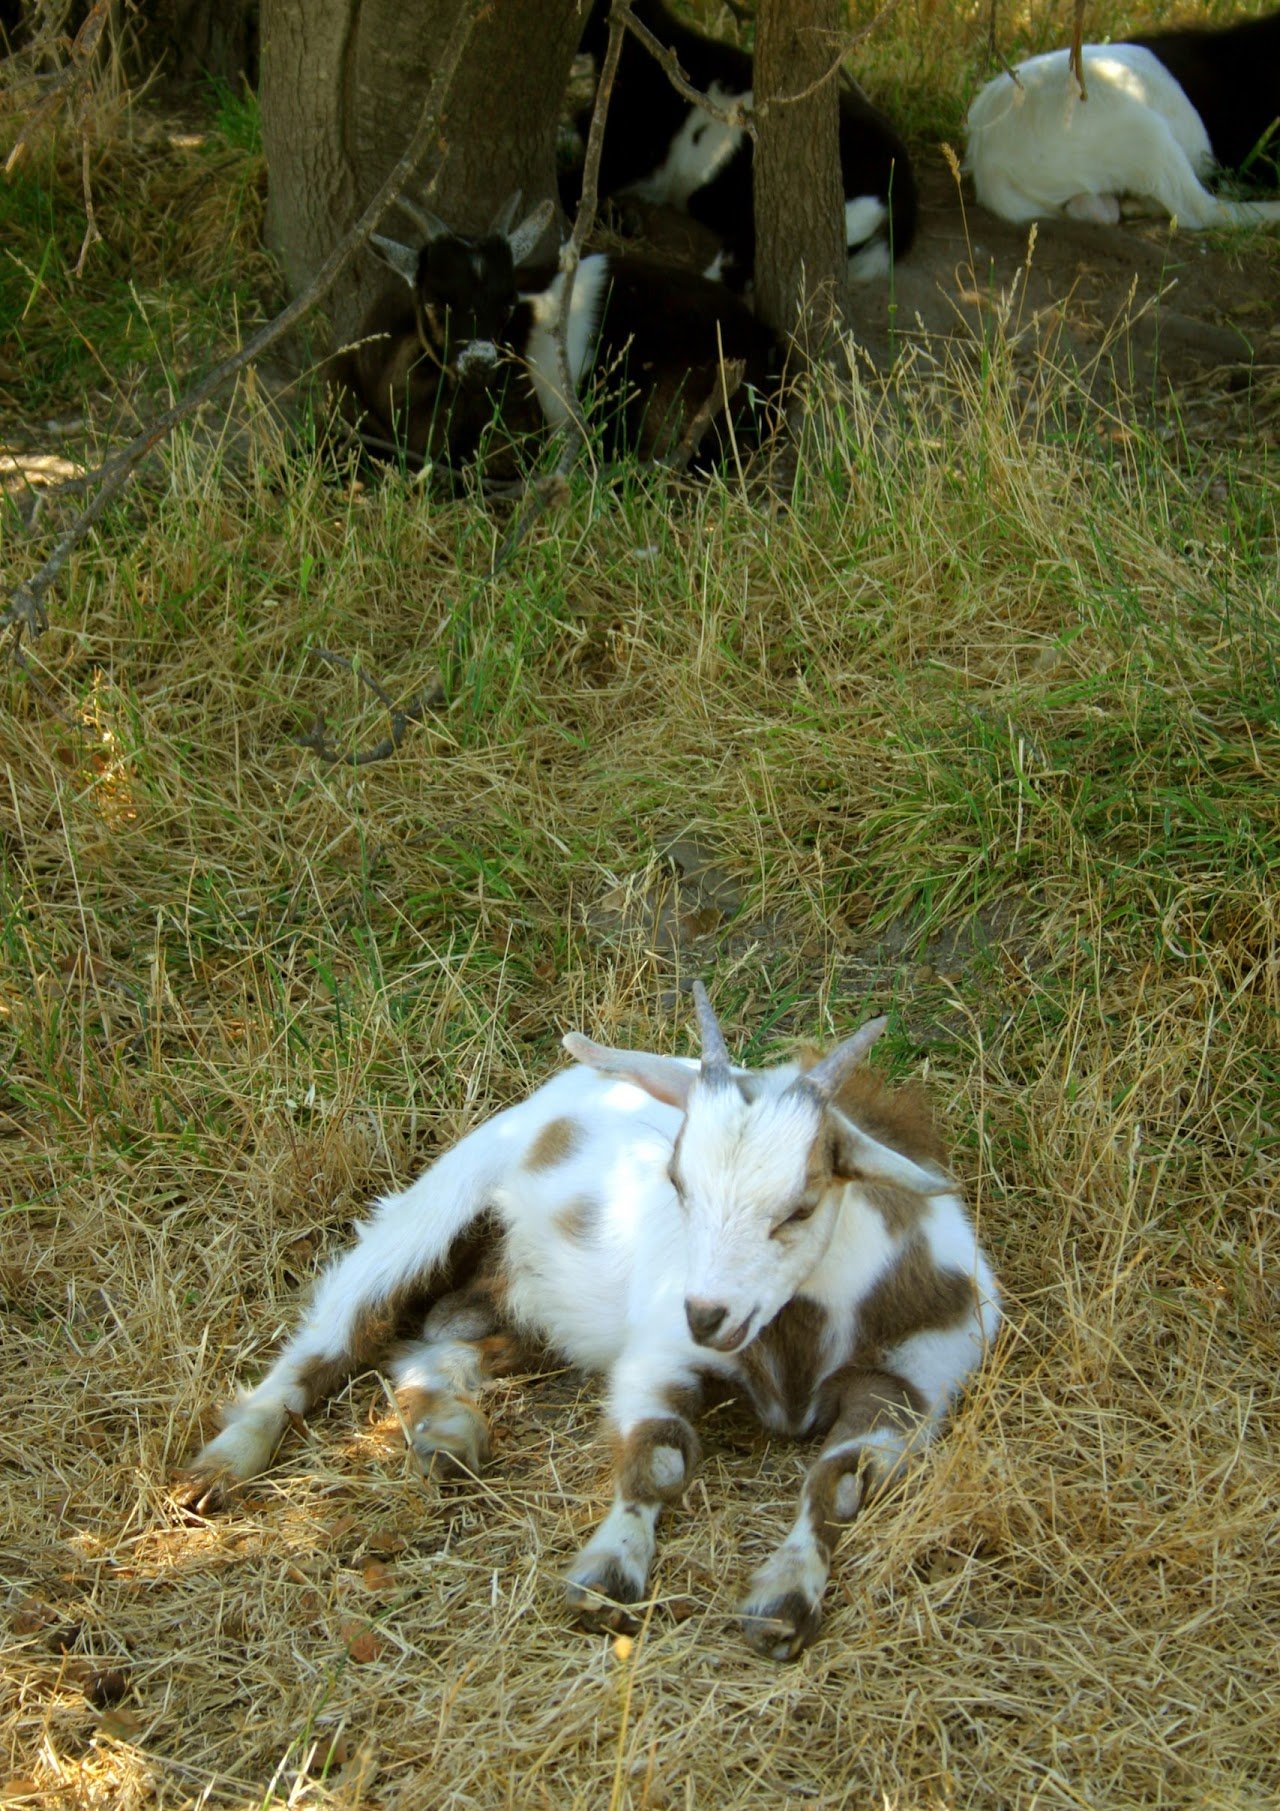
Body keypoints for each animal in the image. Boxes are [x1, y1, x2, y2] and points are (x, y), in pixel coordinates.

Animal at [178, 983, 999, 1661]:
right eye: (678, 1182)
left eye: (799, 1206)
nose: (707, 1314)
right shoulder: (659, 1356)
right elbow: (661, 1455)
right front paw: (609, 1573)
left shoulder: (909, 1388)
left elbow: (839, 1486)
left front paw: (784, 1601)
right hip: (436, 1205)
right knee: (334, 1334)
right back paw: (222, 1467)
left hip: (531, 1315)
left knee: (431, 1345)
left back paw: (447, 1436)